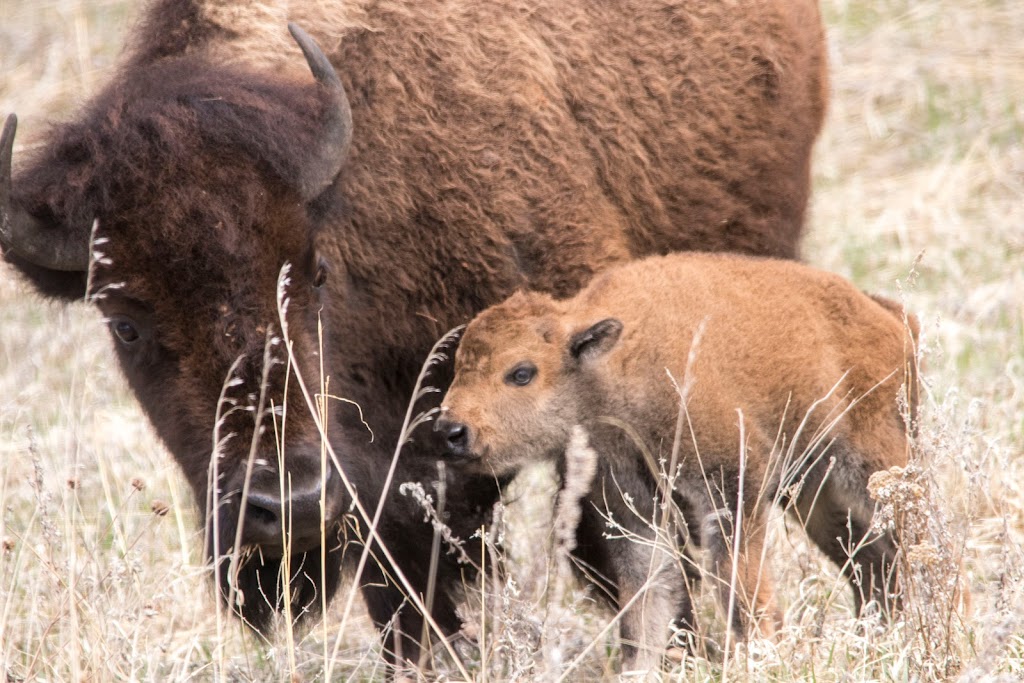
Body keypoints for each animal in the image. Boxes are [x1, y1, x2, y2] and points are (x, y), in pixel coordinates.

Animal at [436, 252, 917, 671]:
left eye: (522, 372)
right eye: (458, 366)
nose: (451, 431)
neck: (615, 366)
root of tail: (890, 317)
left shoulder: (733, 491)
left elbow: (737, 587)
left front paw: (758, 657)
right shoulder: (630, 507)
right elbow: (644, 600)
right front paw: (640, 670)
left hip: (873, 464)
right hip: (815, 494)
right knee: (870, 561)